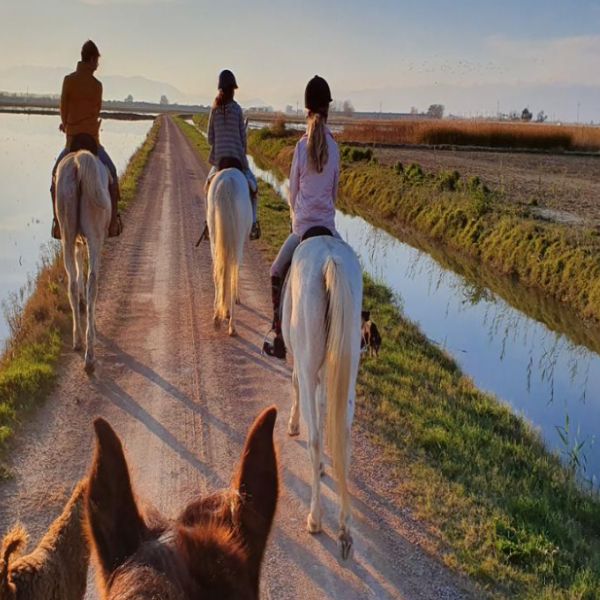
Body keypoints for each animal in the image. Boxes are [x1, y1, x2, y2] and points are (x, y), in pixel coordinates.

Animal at [207, 169, 252, 336]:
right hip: (237, 240)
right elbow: (235, 271)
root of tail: (226, 182)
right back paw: (232, 325)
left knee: (217, 272)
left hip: (214, 236)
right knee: (231, 271)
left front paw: (223, 310)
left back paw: (216, 315)